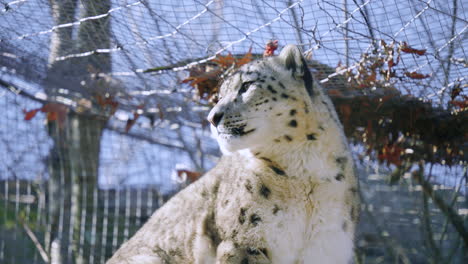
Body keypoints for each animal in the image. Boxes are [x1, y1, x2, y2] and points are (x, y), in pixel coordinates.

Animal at [108, 44, 360, 264]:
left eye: (247, 85)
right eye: (219, 96)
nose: (212, 117)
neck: (306, 168)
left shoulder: (325, 245)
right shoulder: (244, 241)